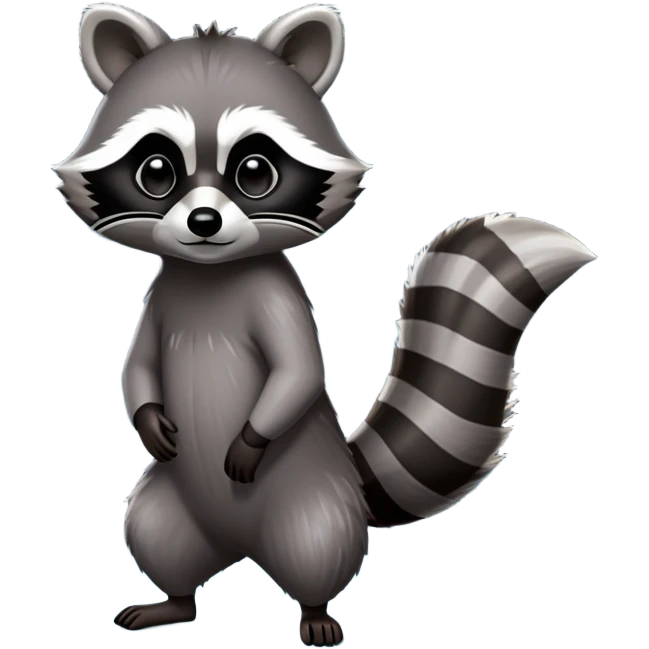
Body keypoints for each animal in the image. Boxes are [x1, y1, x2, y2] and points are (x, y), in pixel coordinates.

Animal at [54, 3, 597, 645]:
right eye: (156, 171)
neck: (212, 274)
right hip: (166, 501)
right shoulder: (161, 297)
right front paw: (145, 417)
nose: (204, 222)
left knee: (318, 545)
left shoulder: (276, 298)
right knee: (154, 535)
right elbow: (137, 365)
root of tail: (239, 548)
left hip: (312, 499)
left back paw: (314, 610)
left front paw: (251, 438)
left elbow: (298, 372)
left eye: (255, 171)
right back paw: (174, 601)